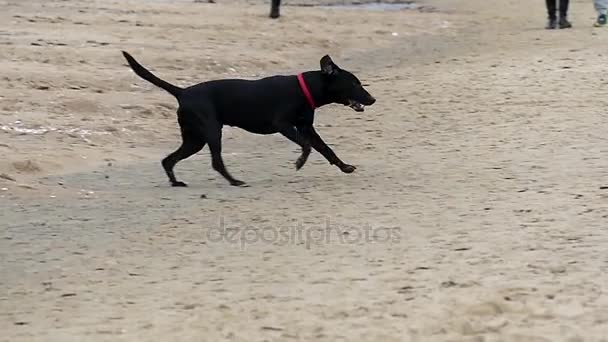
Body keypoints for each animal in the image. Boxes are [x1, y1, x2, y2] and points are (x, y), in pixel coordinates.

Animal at [120, 51, 372, 187]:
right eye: (354, 83)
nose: (373, 99)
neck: (305, 89)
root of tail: (182, 92)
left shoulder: (306, 127)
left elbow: (326, 149)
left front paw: (345, 167)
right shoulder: (283, 125)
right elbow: (307, 146)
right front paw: (299, 162)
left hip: (194, 139)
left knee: (169, 160)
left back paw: (176, 182)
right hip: (211, 132)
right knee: (215, 161)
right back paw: (234, 181)